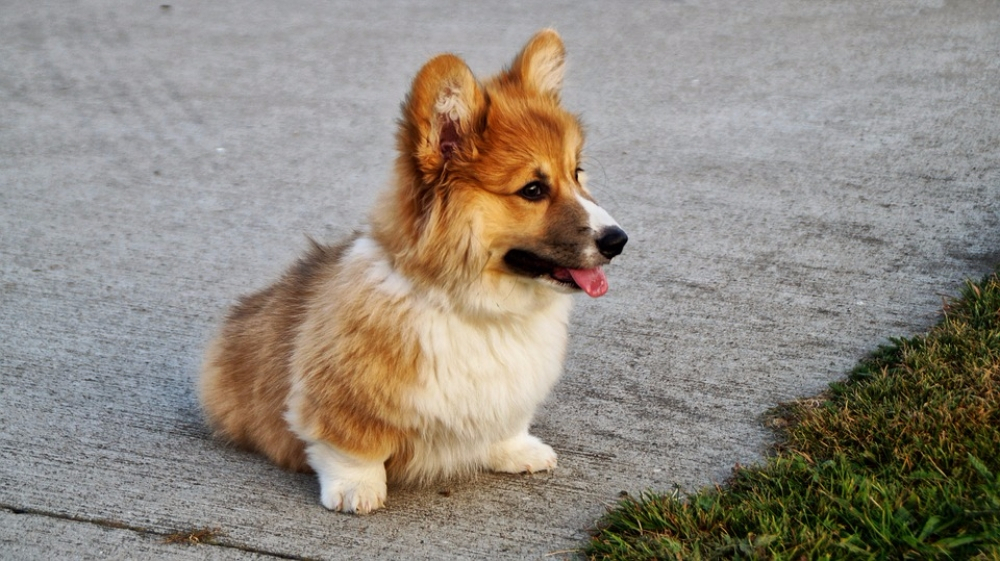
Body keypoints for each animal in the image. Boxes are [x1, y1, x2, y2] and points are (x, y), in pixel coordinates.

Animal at [197, 29, 624, 512]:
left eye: (577, 173)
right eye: (533, 190)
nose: (619, 240)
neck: (477, 310)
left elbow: (505, 423)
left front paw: (516, 450)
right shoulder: (341, 397)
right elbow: (350, 447)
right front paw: (357, 487)